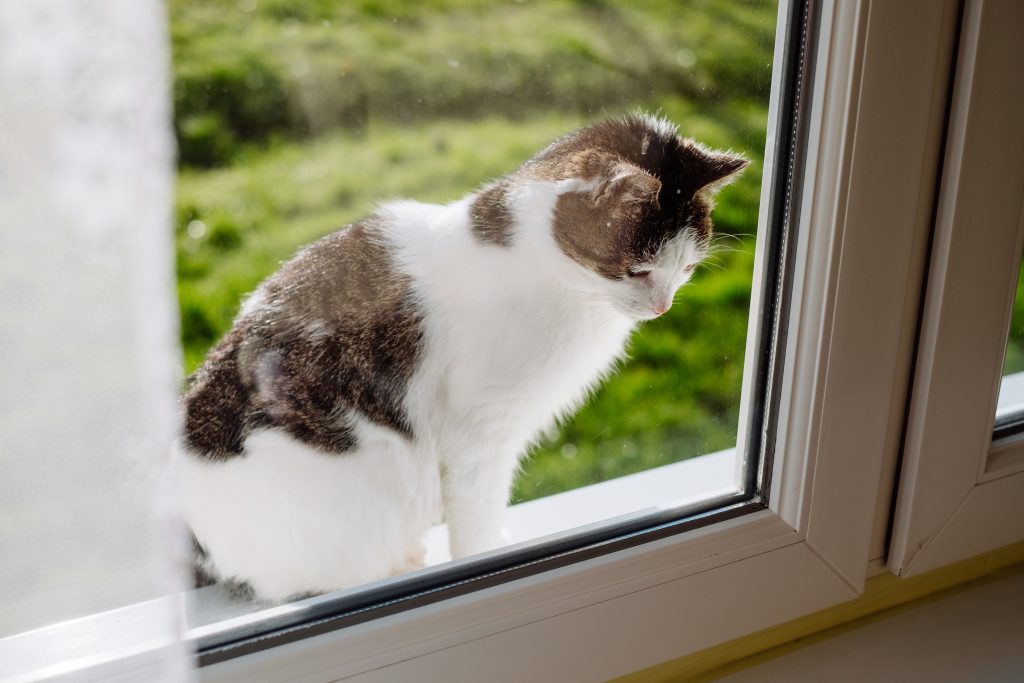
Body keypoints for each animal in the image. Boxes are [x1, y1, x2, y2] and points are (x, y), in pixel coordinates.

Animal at [180, 113, 749, 602]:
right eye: (638, 269)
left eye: (688, 267)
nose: (662, 307)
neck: (563, 284)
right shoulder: (480, 429)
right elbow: (476, 517)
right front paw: (484, 555)